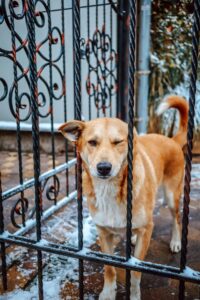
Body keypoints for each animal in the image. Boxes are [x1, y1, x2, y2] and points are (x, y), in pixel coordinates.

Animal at [58, 96, 188, 300]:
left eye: (118, 142)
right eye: (92, 142)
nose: (104, 168)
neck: (109, 191)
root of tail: (171, 139)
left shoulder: (146, 229)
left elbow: (135, 272)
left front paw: (134, 295)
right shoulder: (103, 233)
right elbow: (109, 269)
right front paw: (108, 293)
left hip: (171, 196)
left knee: (176, 219)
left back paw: (175, 242)